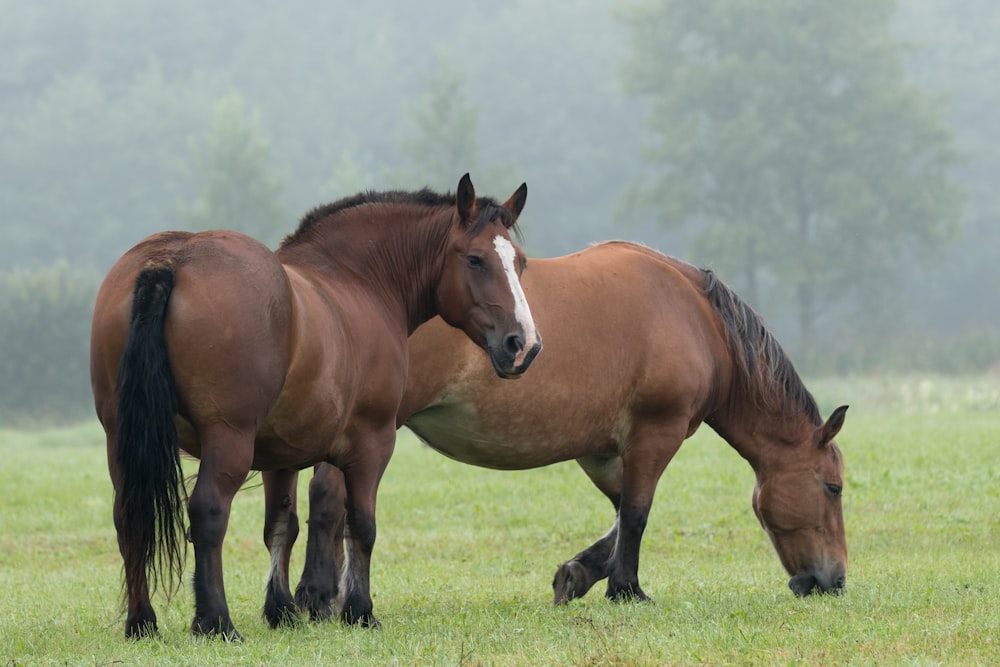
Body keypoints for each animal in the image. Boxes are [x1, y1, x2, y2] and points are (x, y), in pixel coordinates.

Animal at [90, 175, 544, 640]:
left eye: (520, 263)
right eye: (475, 260)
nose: (523, 344)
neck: (358, 281)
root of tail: (173, 259)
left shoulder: (278, 456)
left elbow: (281, 526)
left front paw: (281, 610)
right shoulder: (372, 443)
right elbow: (360, 525)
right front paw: (359, 610)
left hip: (121, 438)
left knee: (128, 517)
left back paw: (142, 622)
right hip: (228, 440)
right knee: (208, 513)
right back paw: (216, 621)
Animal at [292, 237, 848, 620]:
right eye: (833, 487)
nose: (835, 580)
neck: (694, 316)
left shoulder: (600, 450)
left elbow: (621, 514)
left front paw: (578, 575)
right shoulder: (656, 433)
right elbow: (638, 514)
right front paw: (625, 588)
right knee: (332, 500)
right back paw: (320, 598)